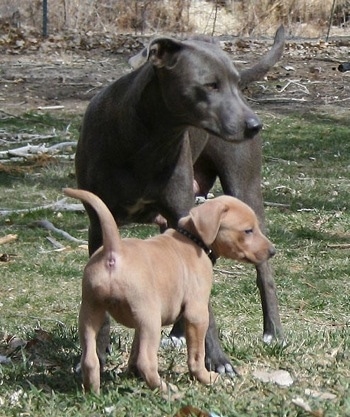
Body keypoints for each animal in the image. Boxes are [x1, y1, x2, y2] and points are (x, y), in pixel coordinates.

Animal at [64, 187, 274, 392]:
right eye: (248, 230)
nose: (273, 251)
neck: (192, 239)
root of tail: (114, 251)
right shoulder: (196, 314)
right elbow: (196, 355)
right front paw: (205, 377)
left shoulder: (139, 324)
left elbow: (135, 347)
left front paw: (132, 372)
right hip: (149, 318)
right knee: (147, 362)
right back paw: (166, 390)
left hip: (90, 312)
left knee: (90, 360)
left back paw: (93, 392)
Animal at [76, 27, 284, 376]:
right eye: (210, 85)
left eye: (235, 83)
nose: (255, 125)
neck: (147, 138)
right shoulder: (98, 222)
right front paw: (97, 356)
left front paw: (218, 360)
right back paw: (177, 333)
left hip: (245, 191)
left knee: (263, 273)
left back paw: (273, 332)